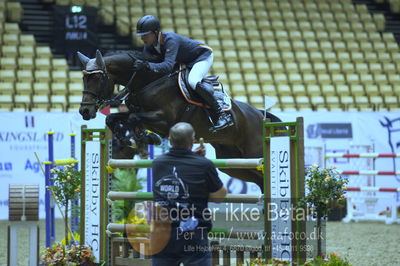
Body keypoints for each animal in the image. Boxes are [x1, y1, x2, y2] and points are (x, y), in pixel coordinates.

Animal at [76, 50, 280, 190]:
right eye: (84, 79)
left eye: (97, 79)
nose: (84, 111)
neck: (146, 82)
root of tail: (259, 114)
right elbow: (114, 118)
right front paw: (133, 138)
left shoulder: (165, 120)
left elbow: (134, 118)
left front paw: (143, 137)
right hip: (232, 161)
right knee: (258, 180)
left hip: (253, 152)